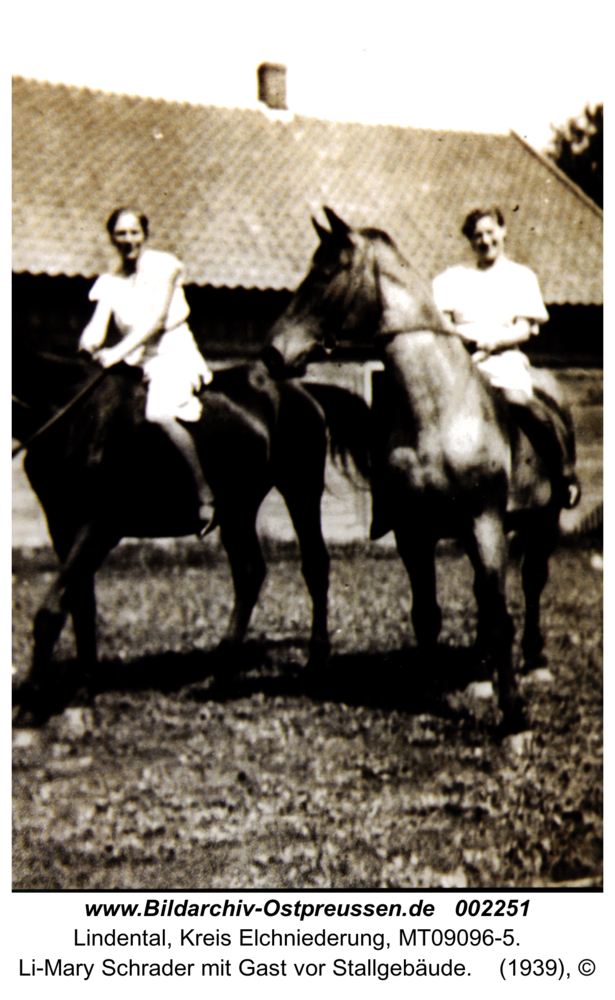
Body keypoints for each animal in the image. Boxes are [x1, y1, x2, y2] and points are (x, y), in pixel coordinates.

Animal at [12, 348, 370, 716]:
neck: (74, 416)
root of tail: (301, 390)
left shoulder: (101, 524)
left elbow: (53, 608)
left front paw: (31, 697)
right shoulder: (62, 526)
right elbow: (80, 601)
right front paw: (85, 685)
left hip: (300, 487)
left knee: (314, 566)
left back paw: (313, 666)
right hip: (238, 509)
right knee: (250, 573)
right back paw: (222, 672)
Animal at [266, 207, 576, 732]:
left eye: (326, 273)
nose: (273, 352)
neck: (438, 414)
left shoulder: (484, 521)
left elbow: (500, 615)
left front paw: (513, 713)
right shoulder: (415, 532)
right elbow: (427, 613)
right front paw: (428, 688)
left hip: (541, 522)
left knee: (532, 582)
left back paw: (533, 663)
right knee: (484, 593)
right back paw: (478, 671)